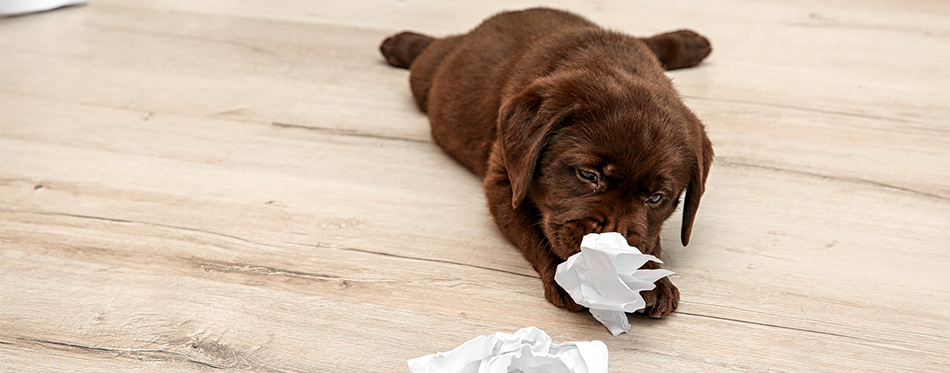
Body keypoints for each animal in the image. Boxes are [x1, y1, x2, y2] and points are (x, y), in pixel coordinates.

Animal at [380, 8, 712, 316]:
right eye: (588, 175)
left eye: (656, 198)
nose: (608, 255)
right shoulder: (506, 181)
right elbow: (539, 230)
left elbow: (647, 238)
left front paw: (650, 279)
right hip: (428, 77)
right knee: (433, 50)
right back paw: (400, 43)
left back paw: (690, 42)